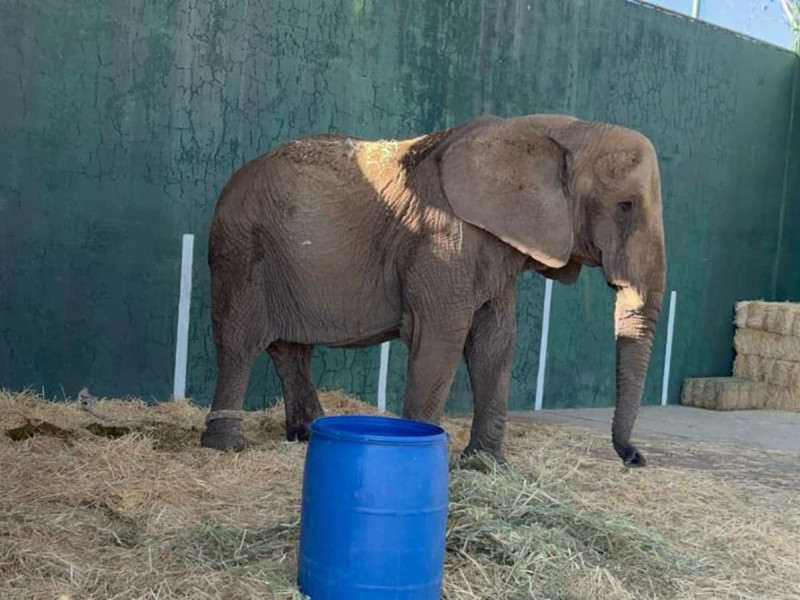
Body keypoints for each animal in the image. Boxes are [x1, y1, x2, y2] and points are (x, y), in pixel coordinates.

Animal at [200, 113, 666, 468]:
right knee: (240, 343)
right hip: (240, 250)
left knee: (292, 349)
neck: (559, 131)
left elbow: (495, 343)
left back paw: (306, 434)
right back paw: (227, 447)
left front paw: (487, 467)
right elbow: (442, 339)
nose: (635, 458)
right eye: (625, 206)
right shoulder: (439, 241)